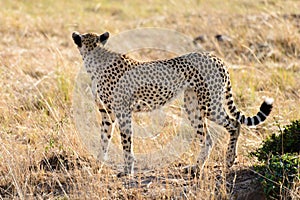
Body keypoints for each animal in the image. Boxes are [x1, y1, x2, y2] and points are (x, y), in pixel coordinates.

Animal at [71, 30, 274, 175]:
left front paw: (127, 171)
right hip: (193, 106)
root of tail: (214, 57)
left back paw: (229, 159)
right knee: (207, 138)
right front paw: (98, 165)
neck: (95, 59)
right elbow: (104, 140)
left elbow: (126, 142)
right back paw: (195, 168)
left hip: (210, 104)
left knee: (234, 124)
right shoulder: (108, 113)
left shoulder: (123, 112)